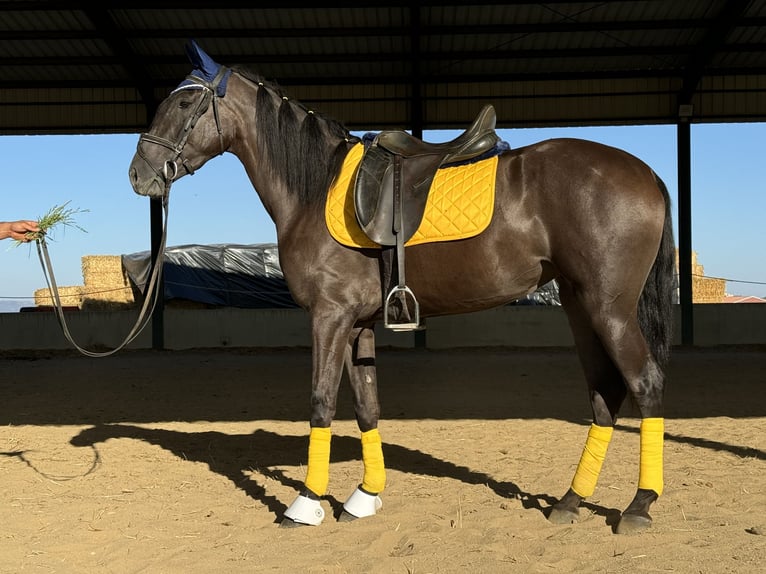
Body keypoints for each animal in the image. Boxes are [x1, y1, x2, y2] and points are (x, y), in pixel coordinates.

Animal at [129, 41, 676, 536]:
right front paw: (363, 497)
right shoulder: (358, 325)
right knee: (604, 393)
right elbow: (366, 407)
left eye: (184, 102)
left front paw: (305, 504)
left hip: (609, 309)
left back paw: (639, 507)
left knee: (646, 384)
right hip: (580, 307)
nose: (139, 174)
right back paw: (570, 502)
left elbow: (321, 402)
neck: (316, 190)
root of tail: (647, 172)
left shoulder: (328, 317)